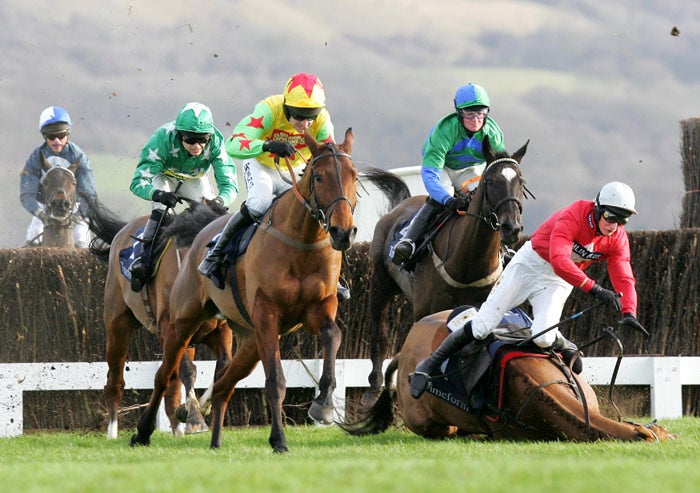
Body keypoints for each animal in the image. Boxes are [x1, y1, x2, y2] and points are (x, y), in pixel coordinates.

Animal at [87, 198, 232, 436]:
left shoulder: (217, 330)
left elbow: (224, 365)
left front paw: (198, 408)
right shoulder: (171, 330)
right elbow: (187, 370)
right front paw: (194, 418)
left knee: (171, 386)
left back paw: (177, 429)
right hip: (118, 325)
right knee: (115, 382)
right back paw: (112, 433)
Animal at [130, 129, 360, 452]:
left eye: (355, 176)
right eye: (318, 177)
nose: (343, 232)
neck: (302, 243)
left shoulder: (320, 307)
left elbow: (333, 335)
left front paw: (324, 404)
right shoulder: (267, 315)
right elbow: (275, 382)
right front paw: (279, 440)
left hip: (247, 338)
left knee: (223, 384)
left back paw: (214, 440)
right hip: (183, 322)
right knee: (164, 375)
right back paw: (143, 431)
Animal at [360, 137, 532, 404]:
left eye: (521, 182)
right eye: (490, 181)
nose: (511, 227)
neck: (468, 264)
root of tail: (401, 205)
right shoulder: (425, 312)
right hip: (380, 283)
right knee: (379, 328)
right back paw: (374, 386)